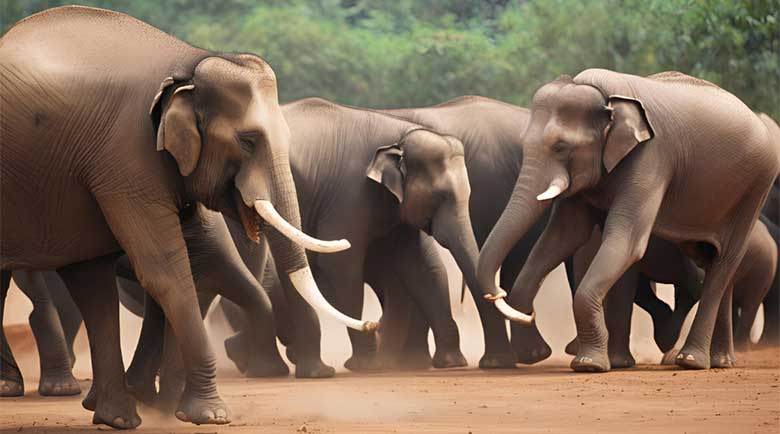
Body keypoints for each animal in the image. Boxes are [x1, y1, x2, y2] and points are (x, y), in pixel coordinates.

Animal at [0, 5, 364, 428]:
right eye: (248, 141)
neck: (188, 62)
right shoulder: (125, 157)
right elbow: (165, 269)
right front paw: (211, 415)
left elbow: (193, 263)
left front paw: (170, 412)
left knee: (91, 283)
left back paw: (116, 417)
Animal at [478, 69, 776, 372]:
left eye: (560, 147)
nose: (499, 295)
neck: (608, 97)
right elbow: (564, 236)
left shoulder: (651, 157)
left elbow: (627, 240)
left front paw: (589, 365)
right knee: (710, 258)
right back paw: (720, 361)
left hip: (756, 187)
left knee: (725, 259)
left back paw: (691, 361)